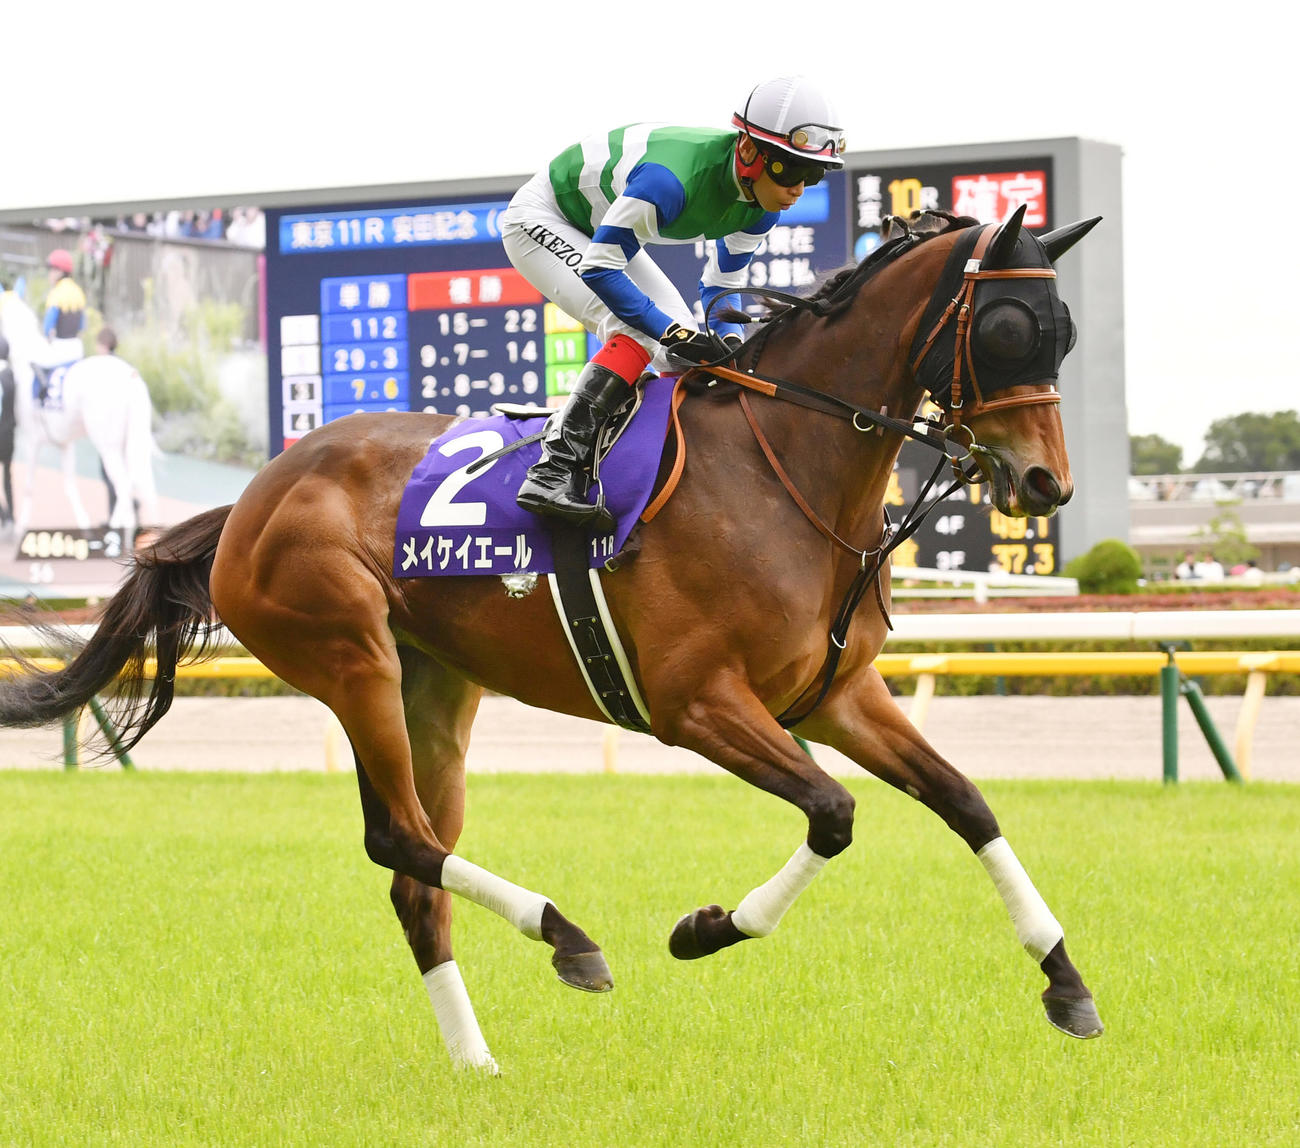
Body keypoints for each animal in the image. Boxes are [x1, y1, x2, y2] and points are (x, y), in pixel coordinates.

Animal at [0, 291, 158, 535]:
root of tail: (131, 375)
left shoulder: (32, 441)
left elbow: (28, 486)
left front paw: (20, 528)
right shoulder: (65, 445)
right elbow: (70, 486)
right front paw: (84, 526)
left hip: (109, 447)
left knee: (123, 487)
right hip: (126, 444)